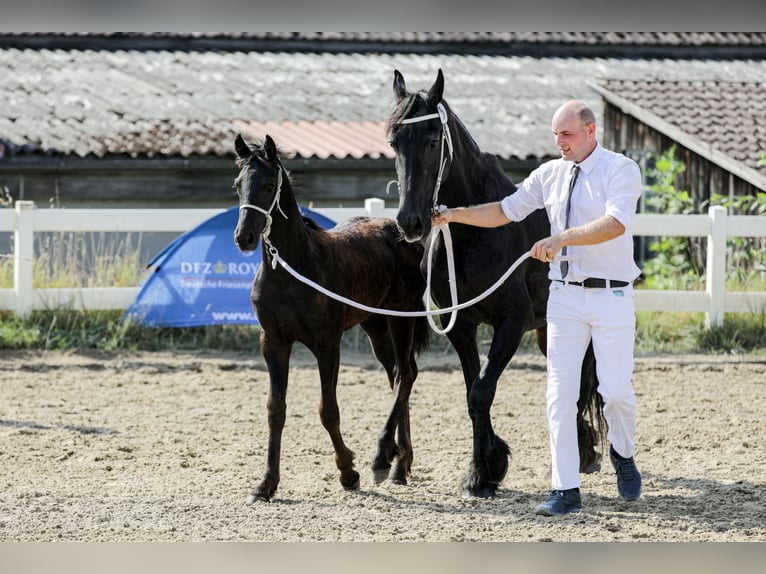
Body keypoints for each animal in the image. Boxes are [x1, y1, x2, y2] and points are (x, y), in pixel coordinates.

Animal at [234, 135, 428, 504]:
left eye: (268, 185)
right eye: (237, 185)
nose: (244, 238)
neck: (292, 270)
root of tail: (400, 234)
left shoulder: (327, 344)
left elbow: (328, 410)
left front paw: (349, 472)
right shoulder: (274, 343)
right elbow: (275, 409)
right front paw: (265, 484)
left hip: (402, 317)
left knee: (406, 375)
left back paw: (387, 461)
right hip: (376, 327)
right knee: (397, 375)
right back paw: (401, 463)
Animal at [390, 67, 608, 500]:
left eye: (432, 140)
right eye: (393, 142)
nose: (410, 222)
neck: (472, 236)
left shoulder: (511, 323)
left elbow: (482, 391)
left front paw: (485, 470)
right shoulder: (462, 327)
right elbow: (473, 392)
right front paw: (482, 472)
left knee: (582, 385)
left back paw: (583, 454)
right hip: (547, 331)